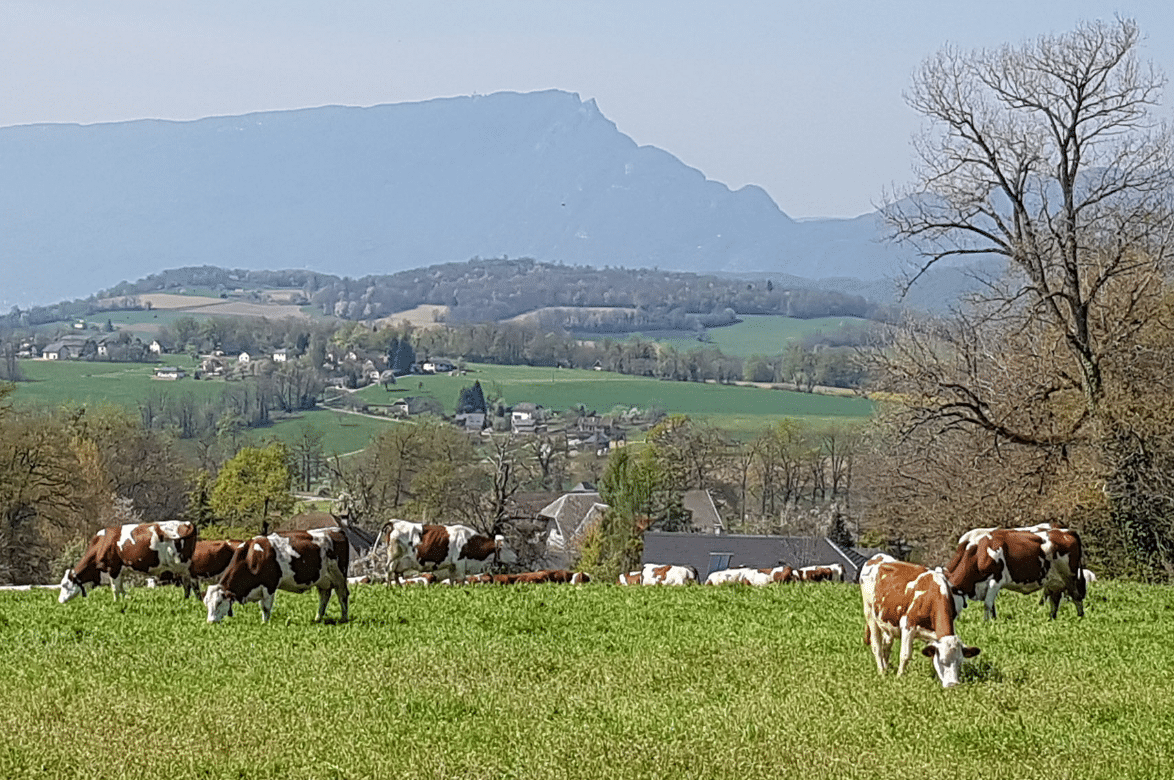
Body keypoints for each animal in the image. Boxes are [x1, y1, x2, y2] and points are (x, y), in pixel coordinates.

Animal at [58, 521, 196, 606]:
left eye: (64, 585)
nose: (59, 601)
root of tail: (187, 523)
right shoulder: (120, 571)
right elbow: (121, 588)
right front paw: (125, 601)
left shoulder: (113, 569)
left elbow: (115, 589)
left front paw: (116, 603)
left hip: (183, 565)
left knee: (188, 584)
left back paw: (186, 601)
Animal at [204, 526, 349, 624]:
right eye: (206, 603)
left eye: (219, 602)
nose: (210, 622)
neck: (252, 557)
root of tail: (335, 530)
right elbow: (263, 607)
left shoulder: (269, 585)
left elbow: (266, 607)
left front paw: (265, 624)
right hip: (322, 580)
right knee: (324, 596)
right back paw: (317, 618)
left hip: (339, 577)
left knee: (342, 595)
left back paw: (344, 618)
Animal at [380, 516, 518, 577]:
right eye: (506, 547)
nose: (517, 557)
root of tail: (394, 522)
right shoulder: (460, 564)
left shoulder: (452, 566)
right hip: (393, 560)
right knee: (389, 574)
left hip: (399, 563)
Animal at [859, 554, 976, 690]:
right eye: (943, 661)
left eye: (960, 663)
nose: (953, 685)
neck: (932, 597)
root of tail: (877, 557)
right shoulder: (908, 625)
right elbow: (905, 655)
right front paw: (899, 677)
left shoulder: (933, 635)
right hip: (869, 613)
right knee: (876, 646)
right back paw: (882, 672)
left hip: (886, 619)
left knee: (886, 645)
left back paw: (886, 667)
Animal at [939, 523, 1084, 620]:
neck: (978, 552)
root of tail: (1066, 532)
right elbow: (991, 606)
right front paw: (993, 620)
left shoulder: (996, 580)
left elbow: (987, 604)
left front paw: (986, 624)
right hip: (1054, 580)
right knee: (1055, 600)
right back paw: (1051, 619)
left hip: (1069, 576)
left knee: (1076, 596)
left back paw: (1080, 619)